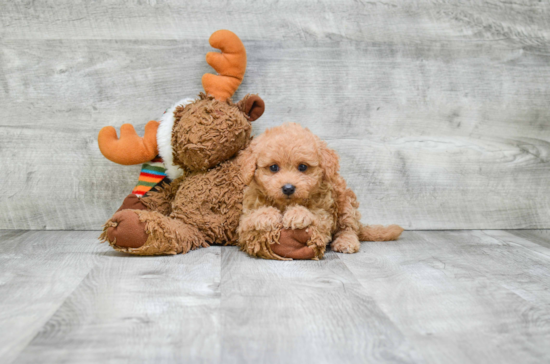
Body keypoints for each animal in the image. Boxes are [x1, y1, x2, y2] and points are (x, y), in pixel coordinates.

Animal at [238, 123, 406, 260]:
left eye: (303, 167)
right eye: (273, 167)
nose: (288, 188)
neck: (285, 203)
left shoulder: (325, 214)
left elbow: (316, 218)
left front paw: (297, 214)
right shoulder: (244, 220)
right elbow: (251, 218)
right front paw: (267, 215)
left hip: (345, 203)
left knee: (349, 228)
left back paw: (346, 241)